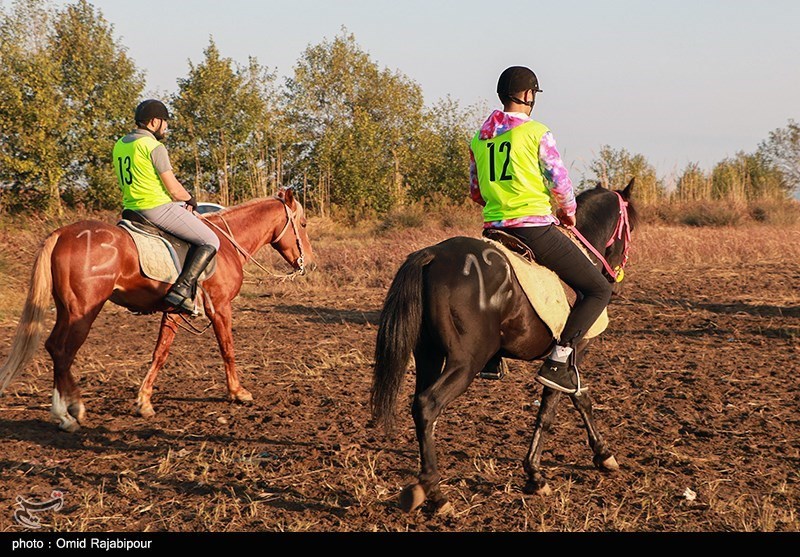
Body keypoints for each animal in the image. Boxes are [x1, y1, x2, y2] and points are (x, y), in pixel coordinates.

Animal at [0, 190, 314, 430]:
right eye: (303, 223)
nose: (308, 263)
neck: (226, 244)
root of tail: (63, 233)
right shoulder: (221, 307)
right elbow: (227, 349)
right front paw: (238, 392)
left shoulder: (174, 311)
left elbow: (160, 353)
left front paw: (144, 401)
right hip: (83, 311)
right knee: (64, 352)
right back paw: (69, 412)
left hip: (67, 309)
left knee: (54, 347)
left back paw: (65, 409)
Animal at [374, 180, 636, 510]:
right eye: (630, 227)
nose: (614, 277)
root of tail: (432, 255)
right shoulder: (571, 354)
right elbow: (556, 406)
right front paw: (538, 474)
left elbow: (578, 399)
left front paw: (599, 456)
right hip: (465, 362)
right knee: (428, 405)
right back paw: (436, 491)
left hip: (428, 355)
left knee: (418, 406)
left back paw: (423, 487)